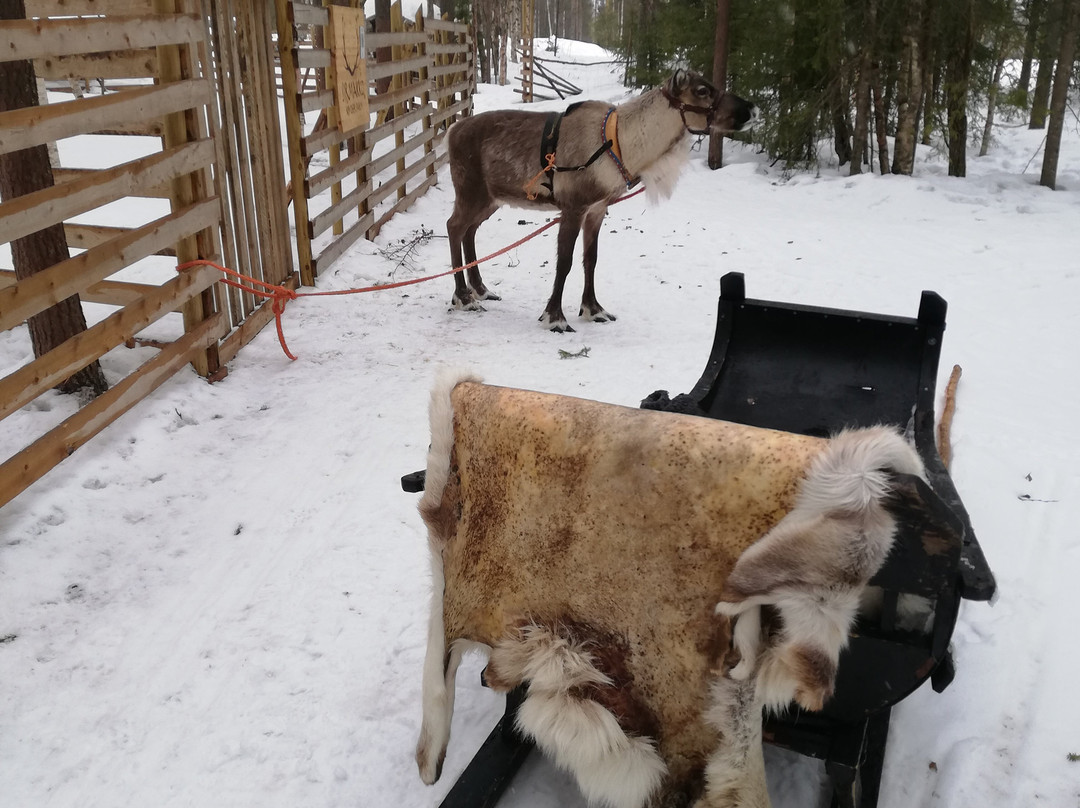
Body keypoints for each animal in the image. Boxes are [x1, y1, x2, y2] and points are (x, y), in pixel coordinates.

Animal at [444, 69, 759, 332]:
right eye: (702, 90)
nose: (753, 109)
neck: (622, 146)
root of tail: (451, 131)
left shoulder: (597, 209)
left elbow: (591, 260)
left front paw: (593, 309)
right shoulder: (573, 207)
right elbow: (565, 262)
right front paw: (555, 317)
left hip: (491, 199)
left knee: (469, 231)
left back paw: (481, 289)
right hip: (470, 191)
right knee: (454, 227)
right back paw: (463, 297)